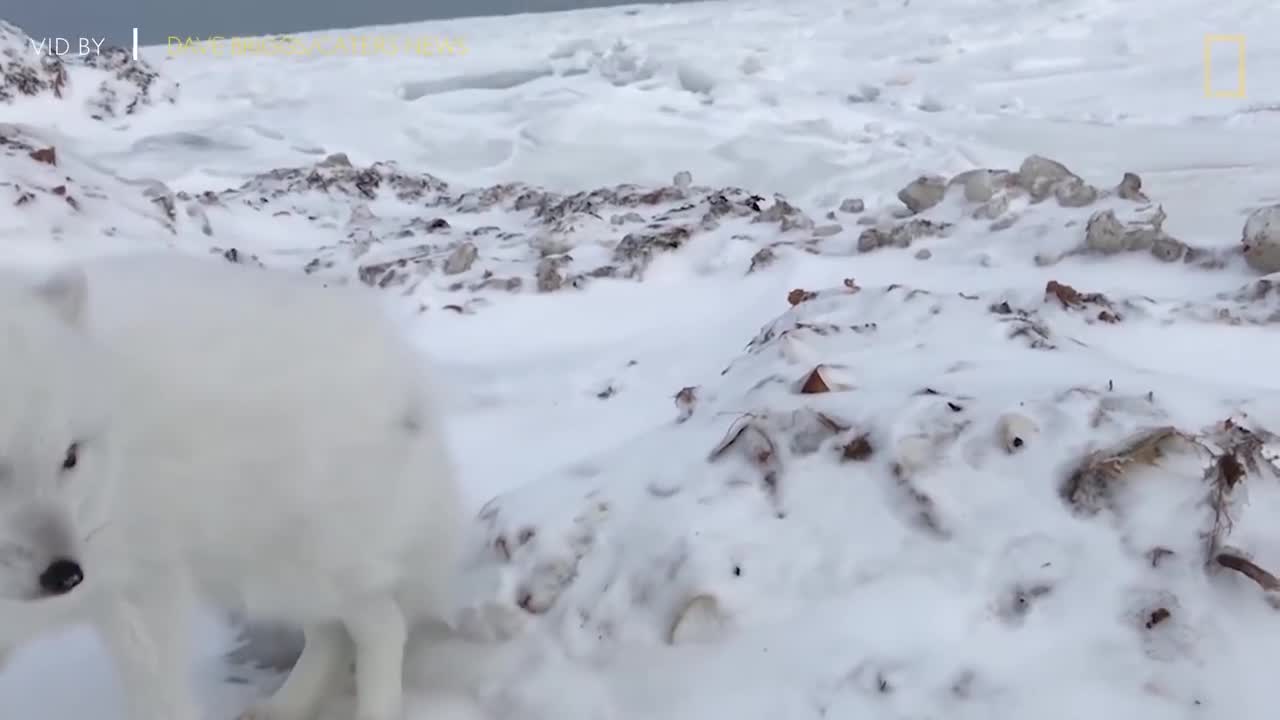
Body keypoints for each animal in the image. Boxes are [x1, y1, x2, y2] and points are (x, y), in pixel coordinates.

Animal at [0, 253, 465, 720]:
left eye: (69, 456)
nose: (65, 576)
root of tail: (404, 369)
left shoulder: (145, 583)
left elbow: (160, 697)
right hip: (256, 573)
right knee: (332, 634)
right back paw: (285, 707)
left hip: (303, 565)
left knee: (381, 626)